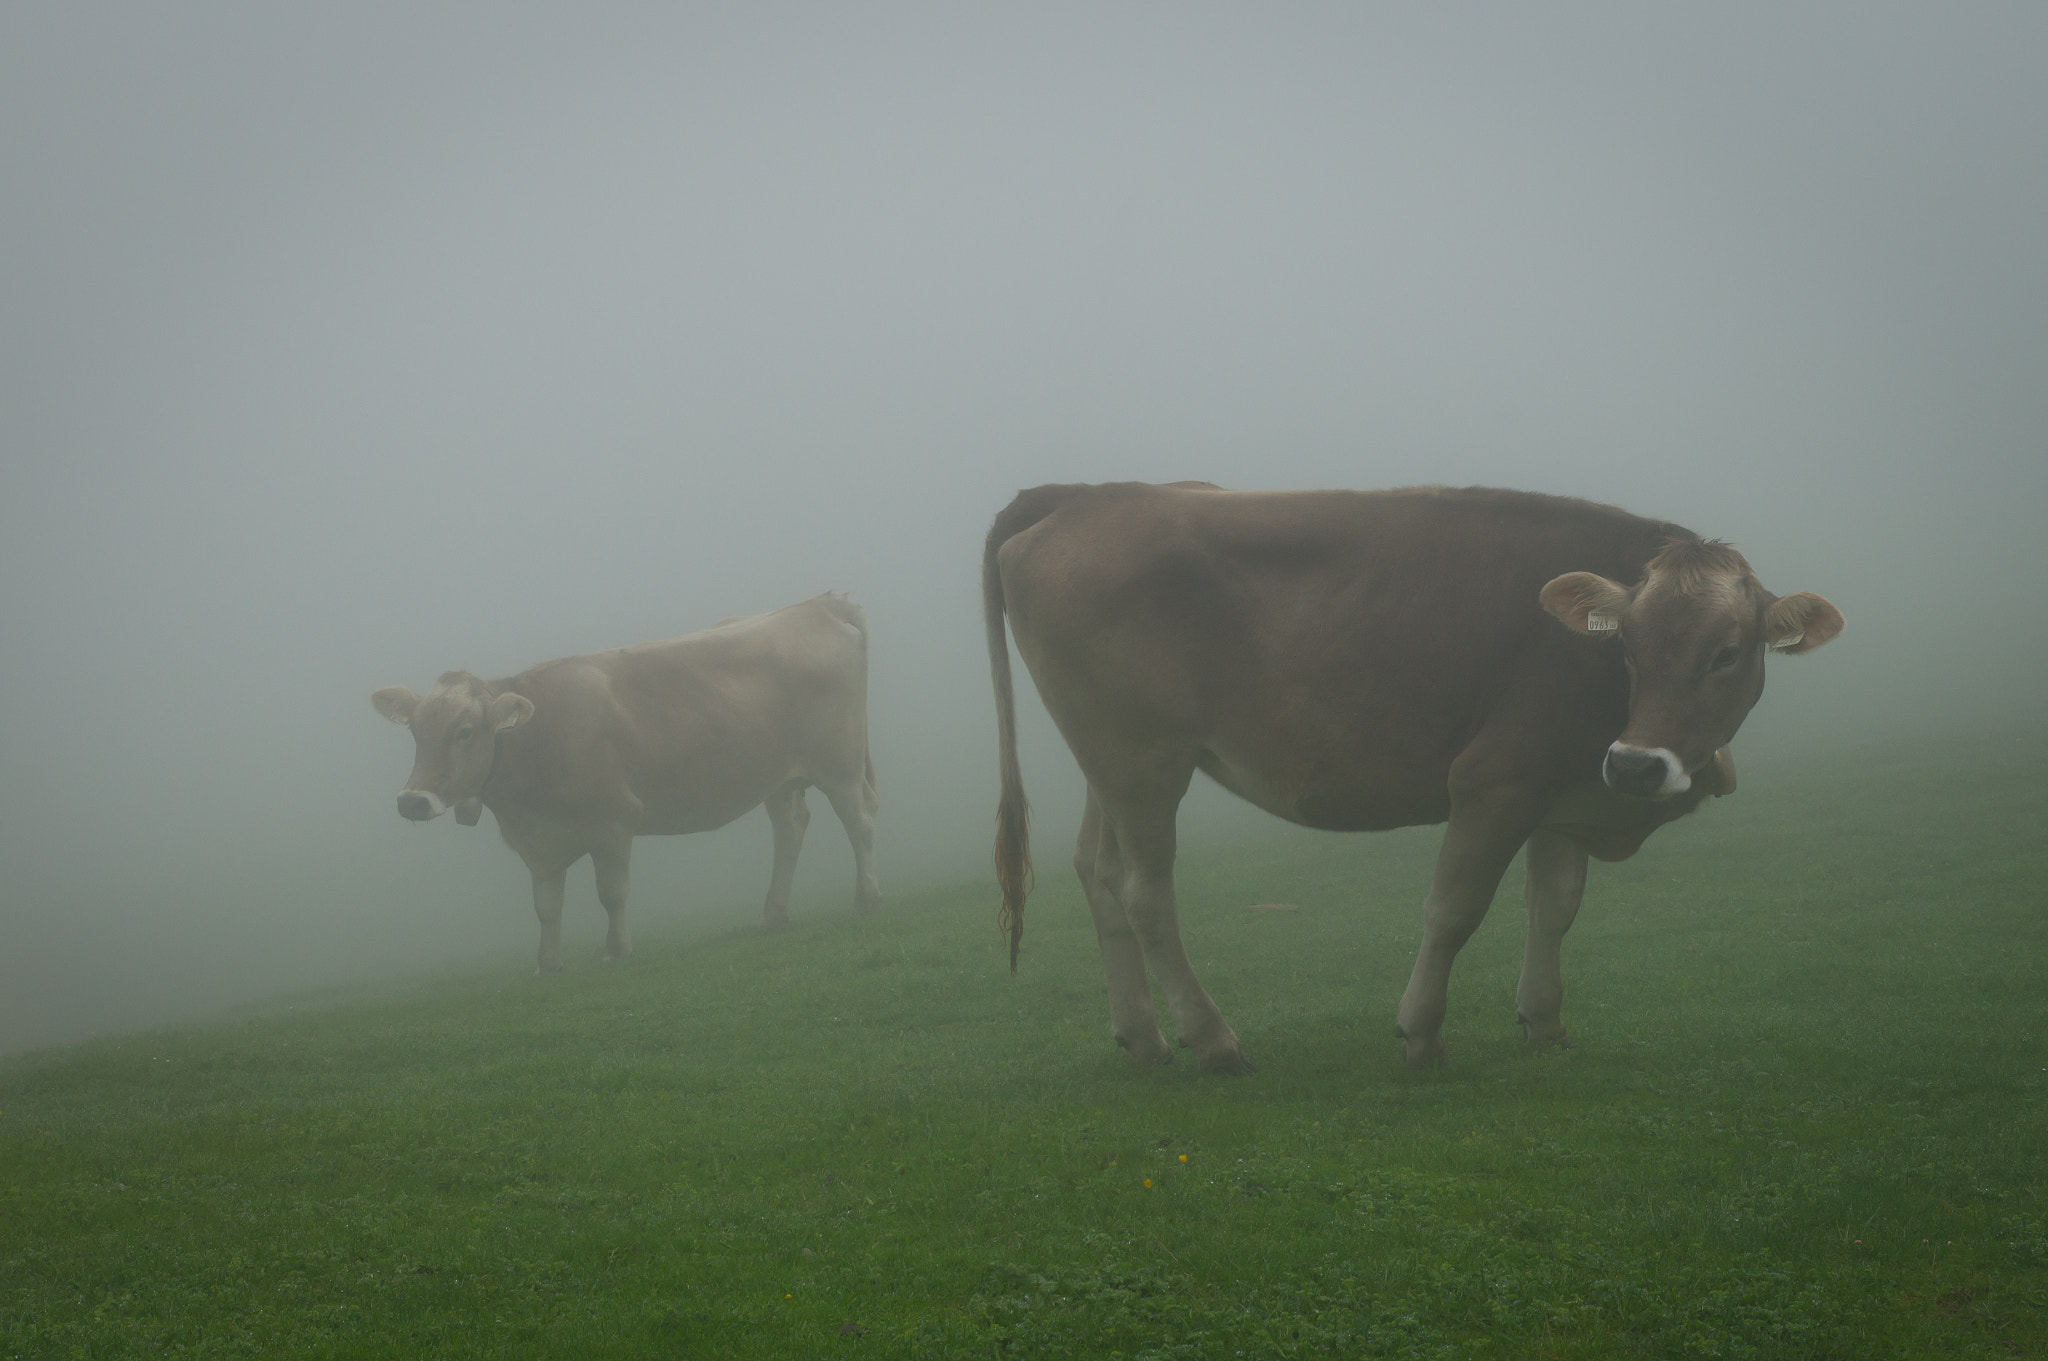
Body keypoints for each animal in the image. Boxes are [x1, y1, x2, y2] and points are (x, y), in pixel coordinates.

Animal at [372, 592, 879, 974]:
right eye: (415, 731)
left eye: (464, 731)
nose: (412, 801)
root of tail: (817, 604)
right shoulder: (539, 842)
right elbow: (546, 906)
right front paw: (547, 964)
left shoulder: (614, 820)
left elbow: (611, 894)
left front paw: (617, 951)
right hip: (778, 777)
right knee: (790, 828)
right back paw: (772, 916)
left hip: (840, 765)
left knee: (860, 822)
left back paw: (866, 900)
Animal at [984, 483, 1843, 1070]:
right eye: (1627, 644)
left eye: (1726, 652)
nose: (1635, 764)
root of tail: (1085, 492)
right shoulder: (1494, 781)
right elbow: (1454, 909)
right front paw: (1421, 1030)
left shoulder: (1564, 787)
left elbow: (1555, 907)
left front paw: (1543, 1019)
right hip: (1142, 760)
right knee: (1144, 891)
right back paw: (1212, 1037)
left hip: (1108, 761)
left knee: (1099, 874)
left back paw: (1144, 1035)